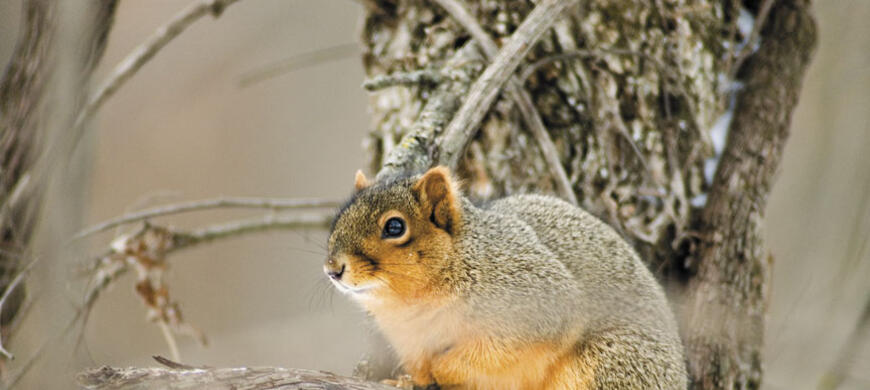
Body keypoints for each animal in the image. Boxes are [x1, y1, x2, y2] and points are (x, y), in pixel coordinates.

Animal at [326, 166, 688, 388]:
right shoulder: (410, 340)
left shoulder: (533, 299)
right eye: (339, 218)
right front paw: (410, 380)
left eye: (395, 226)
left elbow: (491, 353)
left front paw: (443, 369)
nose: (333, 270)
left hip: (611, 365)